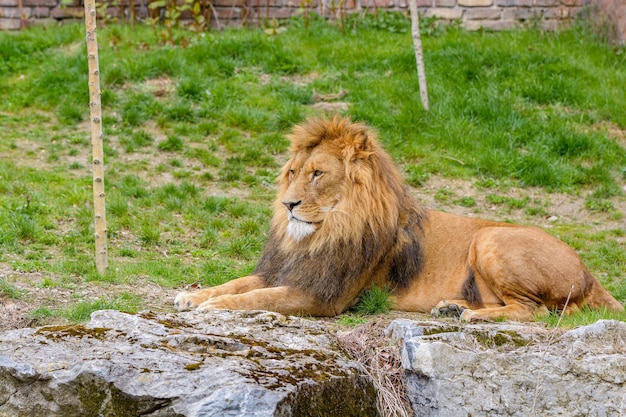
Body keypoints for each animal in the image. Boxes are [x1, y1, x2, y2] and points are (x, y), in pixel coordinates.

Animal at [173, 117, 620, 322]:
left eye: (318, 174)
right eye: (293, 172)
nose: (288, 204)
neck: (320, 233)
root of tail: (591, 272)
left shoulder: (324, 296)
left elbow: (259, 297)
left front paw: (215, 306)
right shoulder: (285, 270)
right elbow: (240, 283)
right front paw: (195, 295)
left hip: (490, 238)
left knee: (535, 310)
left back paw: (472, 316)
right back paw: (452, 309)